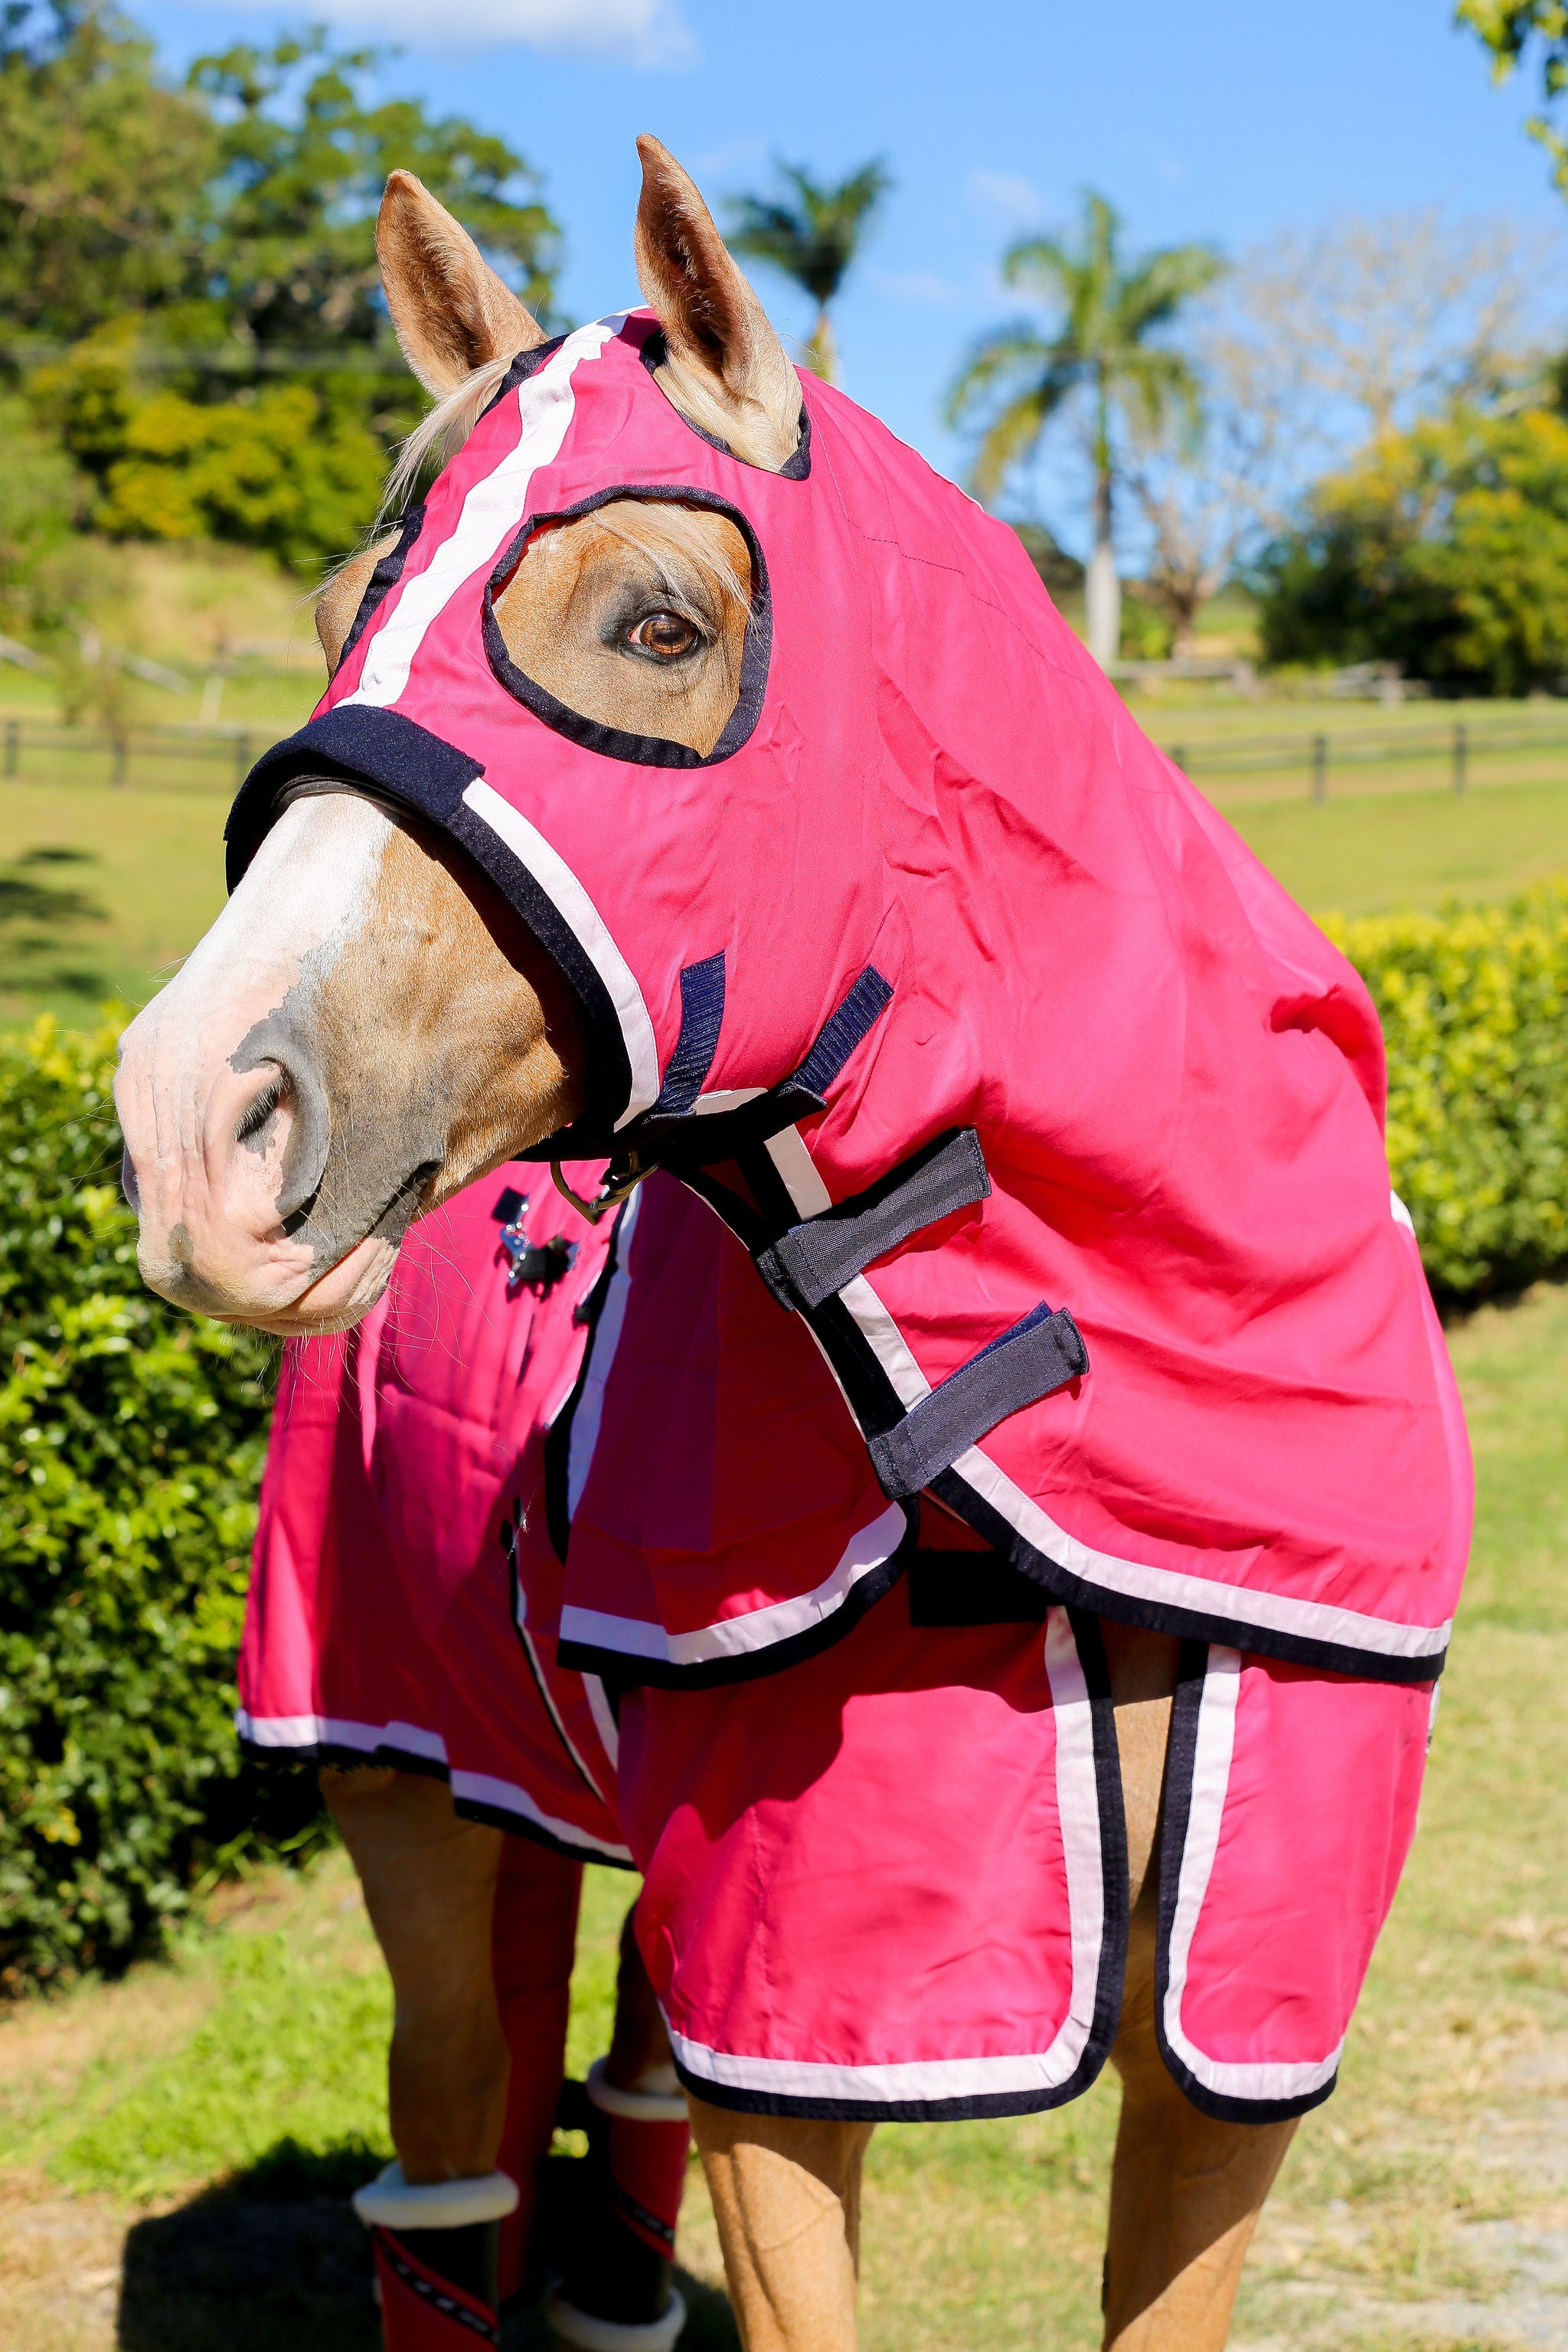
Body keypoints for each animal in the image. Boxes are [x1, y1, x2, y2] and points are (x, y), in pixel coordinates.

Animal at [113, 147, 1476, 2352]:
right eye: (339, 623)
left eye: (659, 620)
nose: (182, 1123)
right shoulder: (807, 2036)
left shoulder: (1233, 2054)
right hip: (401, 1785)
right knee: (450, 2139)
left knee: (608, 2066)